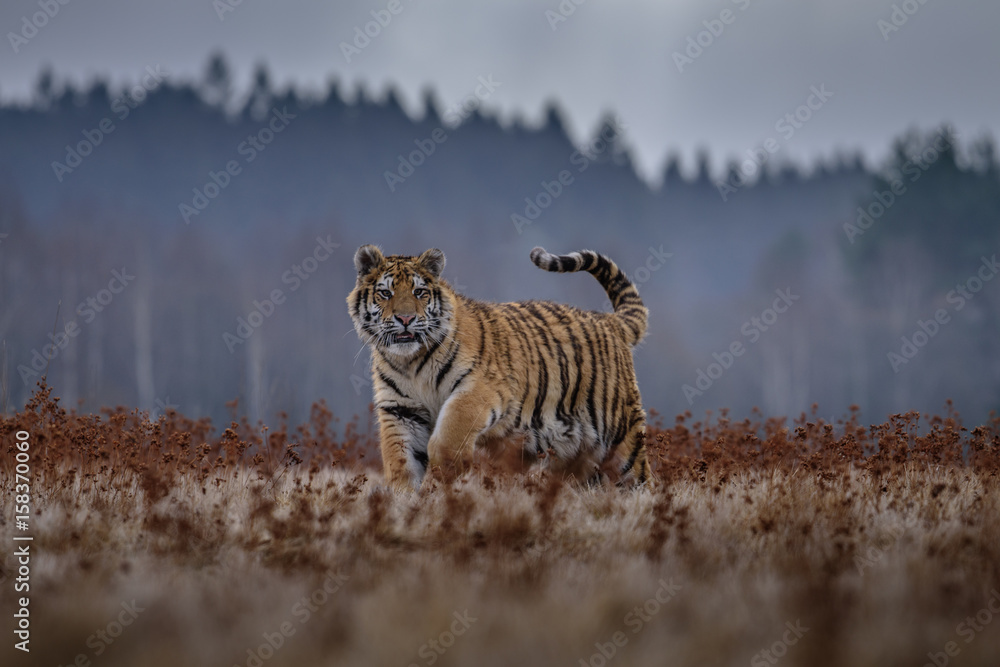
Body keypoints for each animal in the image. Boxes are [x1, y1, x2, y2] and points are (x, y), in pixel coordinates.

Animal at [347, 244, 652, 490]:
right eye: (385, 293)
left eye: (419, 292)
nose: (406, 319)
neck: (409, 362)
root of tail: (610, 321)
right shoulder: (400, 409)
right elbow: (399, 457)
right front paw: (405, 500)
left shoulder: (479, 388)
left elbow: (448, 434)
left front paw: (445, 475)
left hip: (623, 441)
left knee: (640, 479)